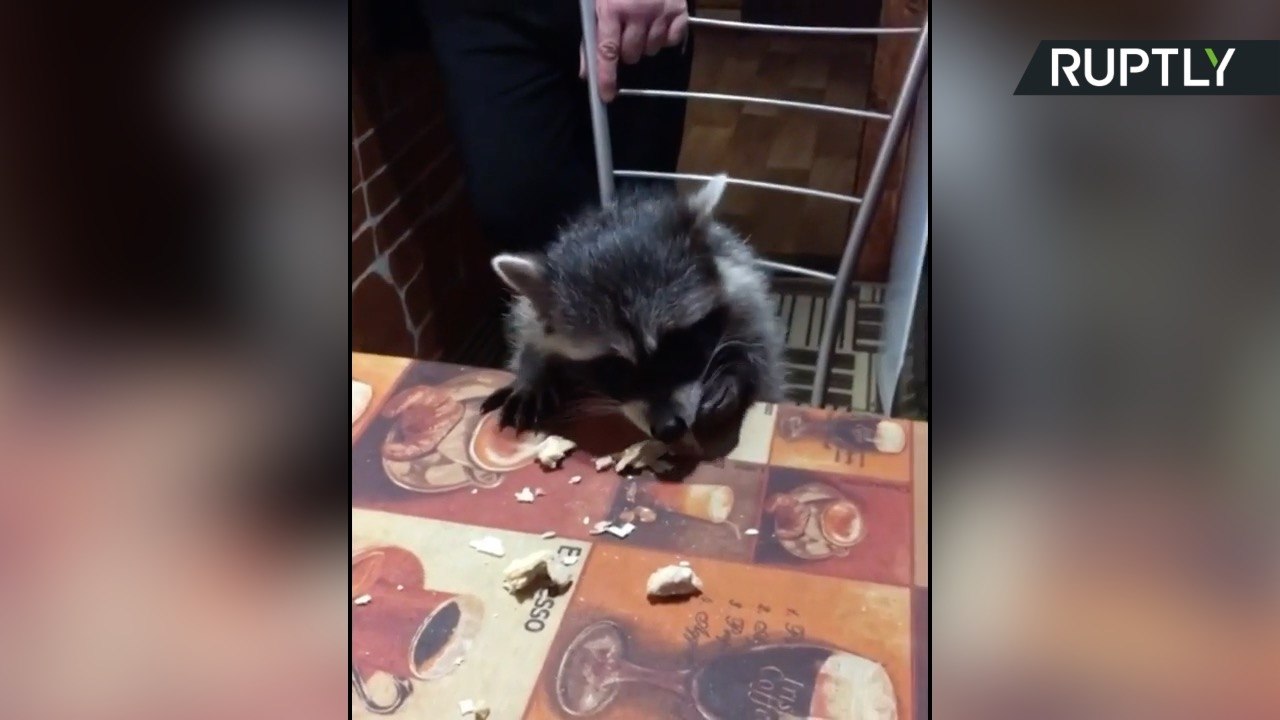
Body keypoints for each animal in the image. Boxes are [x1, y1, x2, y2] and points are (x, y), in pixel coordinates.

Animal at [481, 175, 785, 448]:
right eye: (614, 368)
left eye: (677, 346)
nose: (669, 428)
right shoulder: (535, 313)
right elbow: (529, 330)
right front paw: (532, 374)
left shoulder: (741, 278)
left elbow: (763, 351)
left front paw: (738, 371)